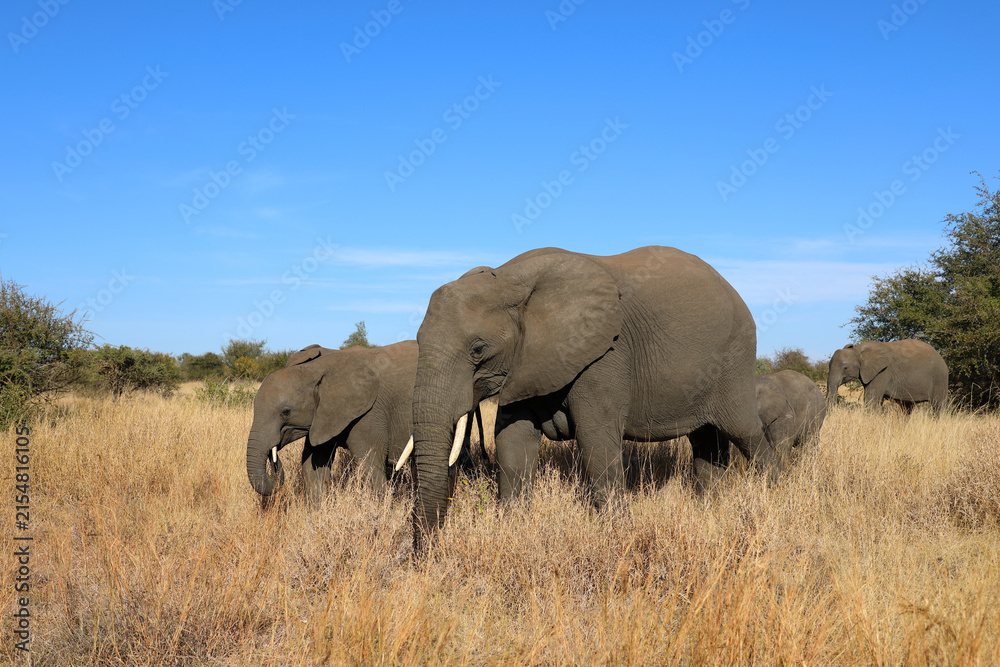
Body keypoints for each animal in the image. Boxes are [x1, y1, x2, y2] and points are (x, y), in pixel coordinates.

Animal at [402, 246, 783, 535]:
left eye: (478, 349)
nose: (426, 551)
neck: (513, 280)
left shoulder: (605, 355)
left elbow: (597, 441)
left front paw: (617, 533)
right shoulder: (523, 365)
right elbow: (513, 445)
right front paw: (513, 528)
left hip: (735, 359)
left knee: (745, 432)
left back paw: (774, 495)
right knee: (706, 440)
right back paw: (708, 508)